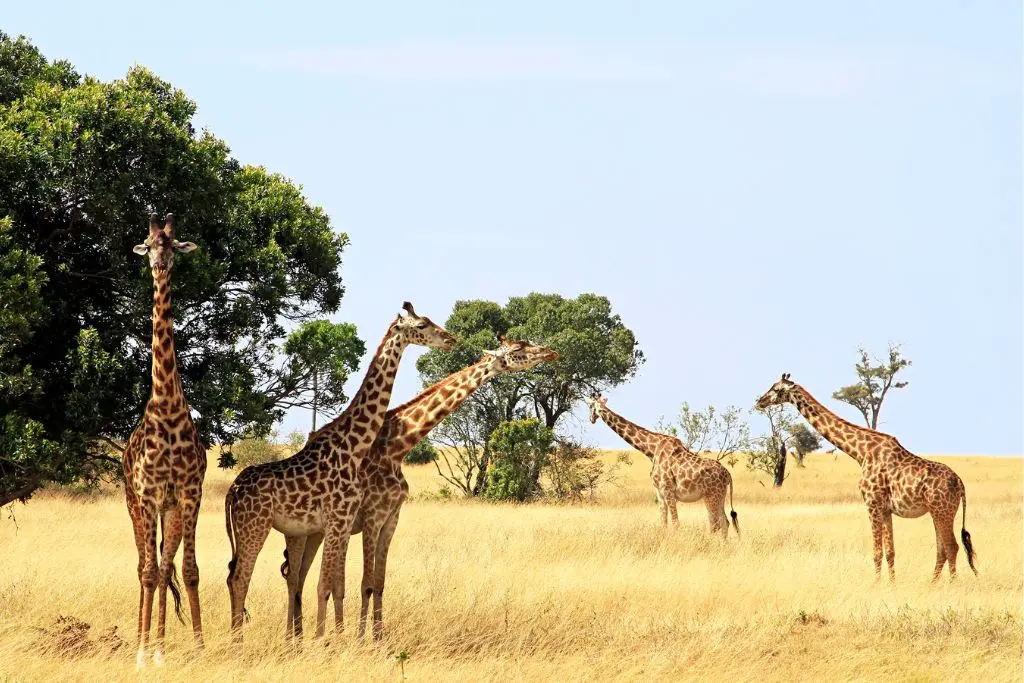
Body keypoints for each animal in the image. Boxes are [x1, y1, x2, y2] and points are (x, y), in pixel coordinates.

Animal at [226, 301, 454, 643]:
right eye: (422, 325)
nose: (450, 339)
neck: (353, 447)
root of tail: (232, 491)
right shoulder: (339, 520)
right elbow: (327, 585)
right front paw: (326, 642)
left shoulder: (343, 523)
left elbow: (334, 584)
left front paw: (332, 639)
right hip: (256, 526)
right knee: (242, 578)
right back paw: (239, 644)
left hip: (270, 530)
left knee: (246, 577)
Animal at [280, 335, 565, 643]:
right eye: (518, 348)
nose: (550, 352)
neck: (398, 446)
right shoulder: (372, 516)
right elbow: (365, 583)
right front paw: (360, 640)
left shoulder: (392, 518)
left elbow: (379, 583)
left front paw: (378, 639)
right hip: (301, 531)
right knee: (294, 577)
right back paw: (292, 639)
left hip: (318, 531)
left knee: (301, 577)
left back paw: (299, 637)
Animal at [581, 393, 741, 536]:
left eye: (590, 406)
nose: (591, 418)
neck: (651, 450)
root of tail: (728, 475)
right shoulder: (659, 492)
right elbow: (663, 523)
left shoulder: (668, 491)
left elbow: (675, 523)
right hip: (719, 495)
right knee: (724, 522)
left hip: (711, 495)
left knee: (715, 523)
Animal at [757, 374, 978, 581]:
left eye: (776, 389)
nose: (759, 401)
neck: (861, 452)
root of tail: (960, 483)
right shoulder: (886, 509)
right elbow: (890, 552)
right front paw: (892, 584)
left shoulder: (872, 504)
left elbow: (877, 552)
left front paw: (877, 584)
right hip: (937, 511)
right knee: (942, 549)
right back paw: (931, 584)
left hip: (942, 510)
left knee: (951, 547)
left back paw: (951, 584)